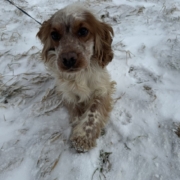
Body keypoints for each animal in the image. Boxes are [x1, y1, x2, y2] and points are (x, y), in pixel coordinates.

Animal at [36, 3, 115, 152]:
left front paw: (84, 136)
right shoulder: (66, 93)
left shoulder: (102, 88)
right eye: (54, 35)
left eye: (83, 31)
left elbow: (93, 111)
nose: (68, 59)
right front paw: (78, 126)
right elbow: (76, 111)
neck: (79, 75)